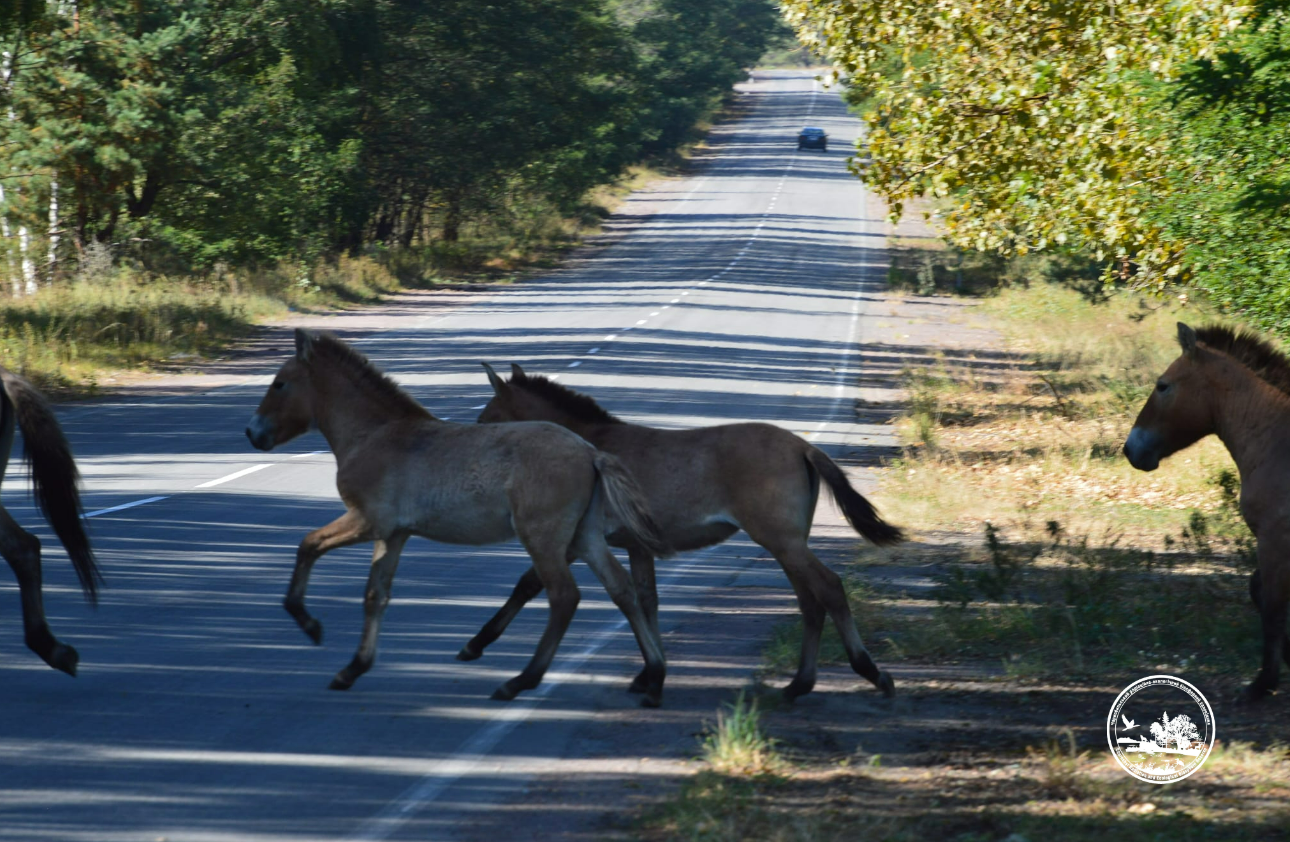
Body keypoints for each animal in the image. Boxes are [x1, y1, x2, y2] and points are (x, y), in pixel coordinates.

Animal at [246, 328, 675, 701]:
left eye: (279, 383)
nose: (253, 433)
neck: (376, 434)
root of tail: (590, 452)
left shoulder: (367, 520)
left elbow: (308, 545)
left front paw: (310, 624)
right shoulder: (393, 534)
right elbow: (375, 595)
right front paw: (353, 668)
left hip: (543, 537)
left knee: (564, 596)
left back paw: (520, 681)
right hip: (584, 537)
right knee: (622, 590)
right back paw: (654, 676)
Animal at [466, 363, 908, 701]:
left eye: (487, 420)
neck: (588, 447)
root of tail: (803, 447)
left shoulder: (578, 538)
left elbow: (528, 584)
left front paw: (477, 643)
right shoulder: (634, 546)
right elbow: (646, 600)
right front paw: (649, 673)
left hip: (781, 540)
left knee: (828, 588)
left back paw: (871, 673)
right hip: (787, 544)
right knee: (810, 602)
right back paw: (799, 683)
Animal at [1124, 323, 1290, 701]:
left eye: (1163, 385)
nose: (1130, 449)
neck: (1278, 442)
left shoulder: (1274, 540)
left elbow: (1272, 609)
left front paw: (1263, 684)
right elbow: (1261, 594)